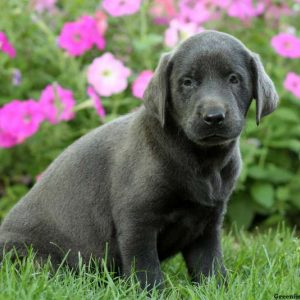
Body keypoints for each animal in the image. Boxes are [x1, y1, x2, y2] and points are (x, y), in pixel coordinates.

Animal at [0, 29, 278, 288]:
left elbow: (209, 264)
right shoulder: (137, 220)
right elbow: (145, 267)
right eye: (187, 82)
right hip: (35, 257)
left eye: (234, 79)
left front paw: (217, 288)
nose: (214, 116)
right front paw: (152, 292)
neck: (201, 159)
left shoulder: (208, 222)